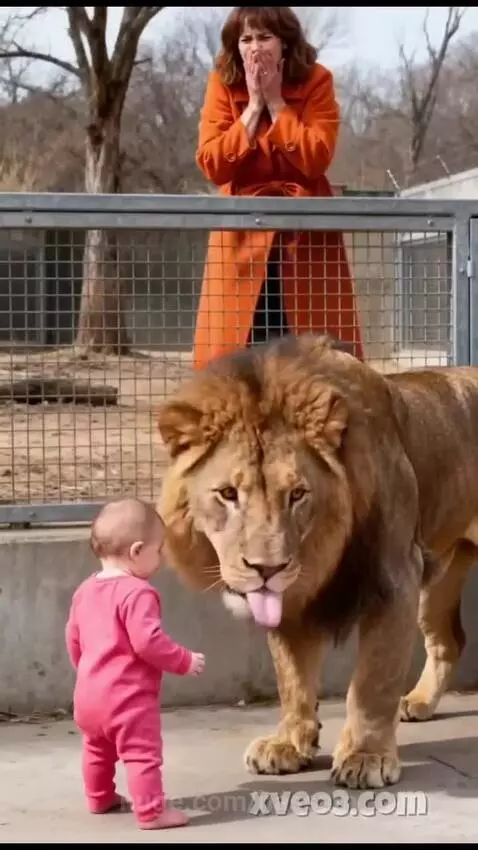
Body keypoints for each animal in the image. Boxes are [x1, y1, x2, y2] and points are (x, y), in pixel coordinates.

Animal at [156, 333, 478, 791]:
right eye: (228, 494)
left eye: (298, 494)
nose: (266, 569)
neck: (321, 553)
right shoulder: (291, 598)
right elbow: (291, 674)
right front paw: (289, 743)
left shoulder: (395, 578)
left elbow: (372, 680)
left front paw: (365, 755)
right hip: (439, 581)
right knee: (448, 641)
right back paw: (418, 701)